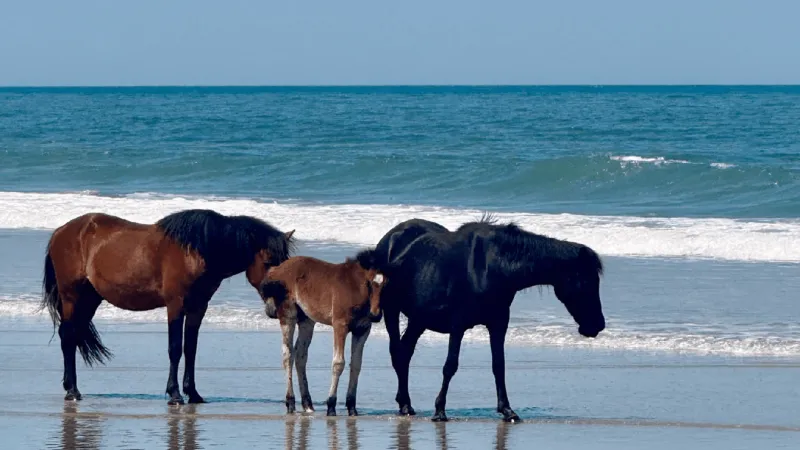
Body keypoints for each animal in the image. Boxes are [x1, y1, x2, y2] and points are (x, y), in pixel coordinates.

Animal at [39, 208, 295, 405]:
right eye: (267, 262)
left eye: (284, 263)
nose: (276, 308)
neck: (198, 251)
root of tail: (60, 232)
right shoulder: (175, 305)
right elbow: (175, 348)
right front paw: (175, 394)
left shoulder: (198, 307)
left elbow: (190, 349)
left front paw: (193, 393)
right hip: (71, 296)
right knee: (68, 336)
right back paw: (72, 391)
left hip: (90, 298)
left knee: (72, 334)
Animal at [258, 249, 384, 417]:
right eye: (369, 283)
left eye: (387, 284)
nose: (375, 315)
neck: (355, 288)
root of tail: (275, 270)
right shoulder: (340, 325)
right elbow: (338, 363)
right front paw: (331, 406)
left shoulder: (362, 329)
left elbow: (356, 365)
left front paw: (352, 408)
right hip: (288, 315)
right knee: (288, 354)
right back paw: (290, 402)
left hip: (306, 321)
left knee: (300, 355)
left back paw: (307, 404)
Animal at [372, 216, 606, 422]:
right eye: (586, 282)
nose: (597, 325)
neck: (491, 267)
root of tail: (389, 239)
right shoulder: (457, 325)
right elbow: (450, 366)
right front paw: (439, 410)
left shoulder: (498, 324)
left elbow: (498, 365)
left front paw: (507, 410)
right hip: (392, 310)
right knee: (397, 352)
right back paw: (405, 405)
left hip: (419, 319)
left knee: (405, 352)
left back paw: (405, 403)